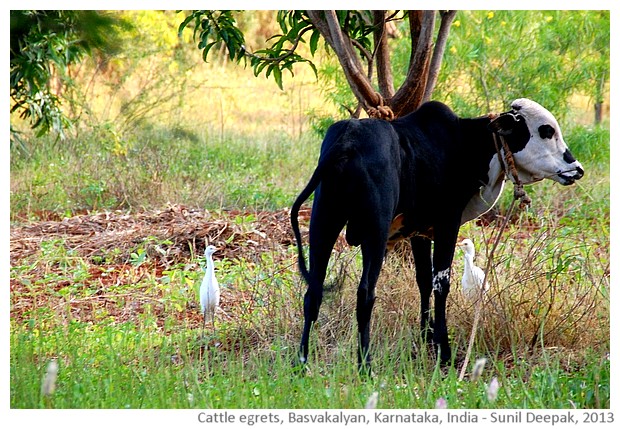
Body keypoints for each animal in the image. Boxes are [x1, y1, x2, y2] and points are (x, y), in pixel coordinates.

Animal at [290, 98, 580, 370]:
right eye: (546, 131)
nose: (577, 169)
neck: (463, 142)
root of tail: (347, 140)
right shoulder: (447, 224)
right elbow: (441, 284)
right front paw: (444, 350)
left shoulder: (419, 232)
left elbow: (424, 282)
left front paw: (425, 338)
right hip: (375, 233)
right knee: (365, 294)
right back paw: (366, 367)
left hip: (323, 222)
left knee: (313, 293)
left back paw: (301, 364)